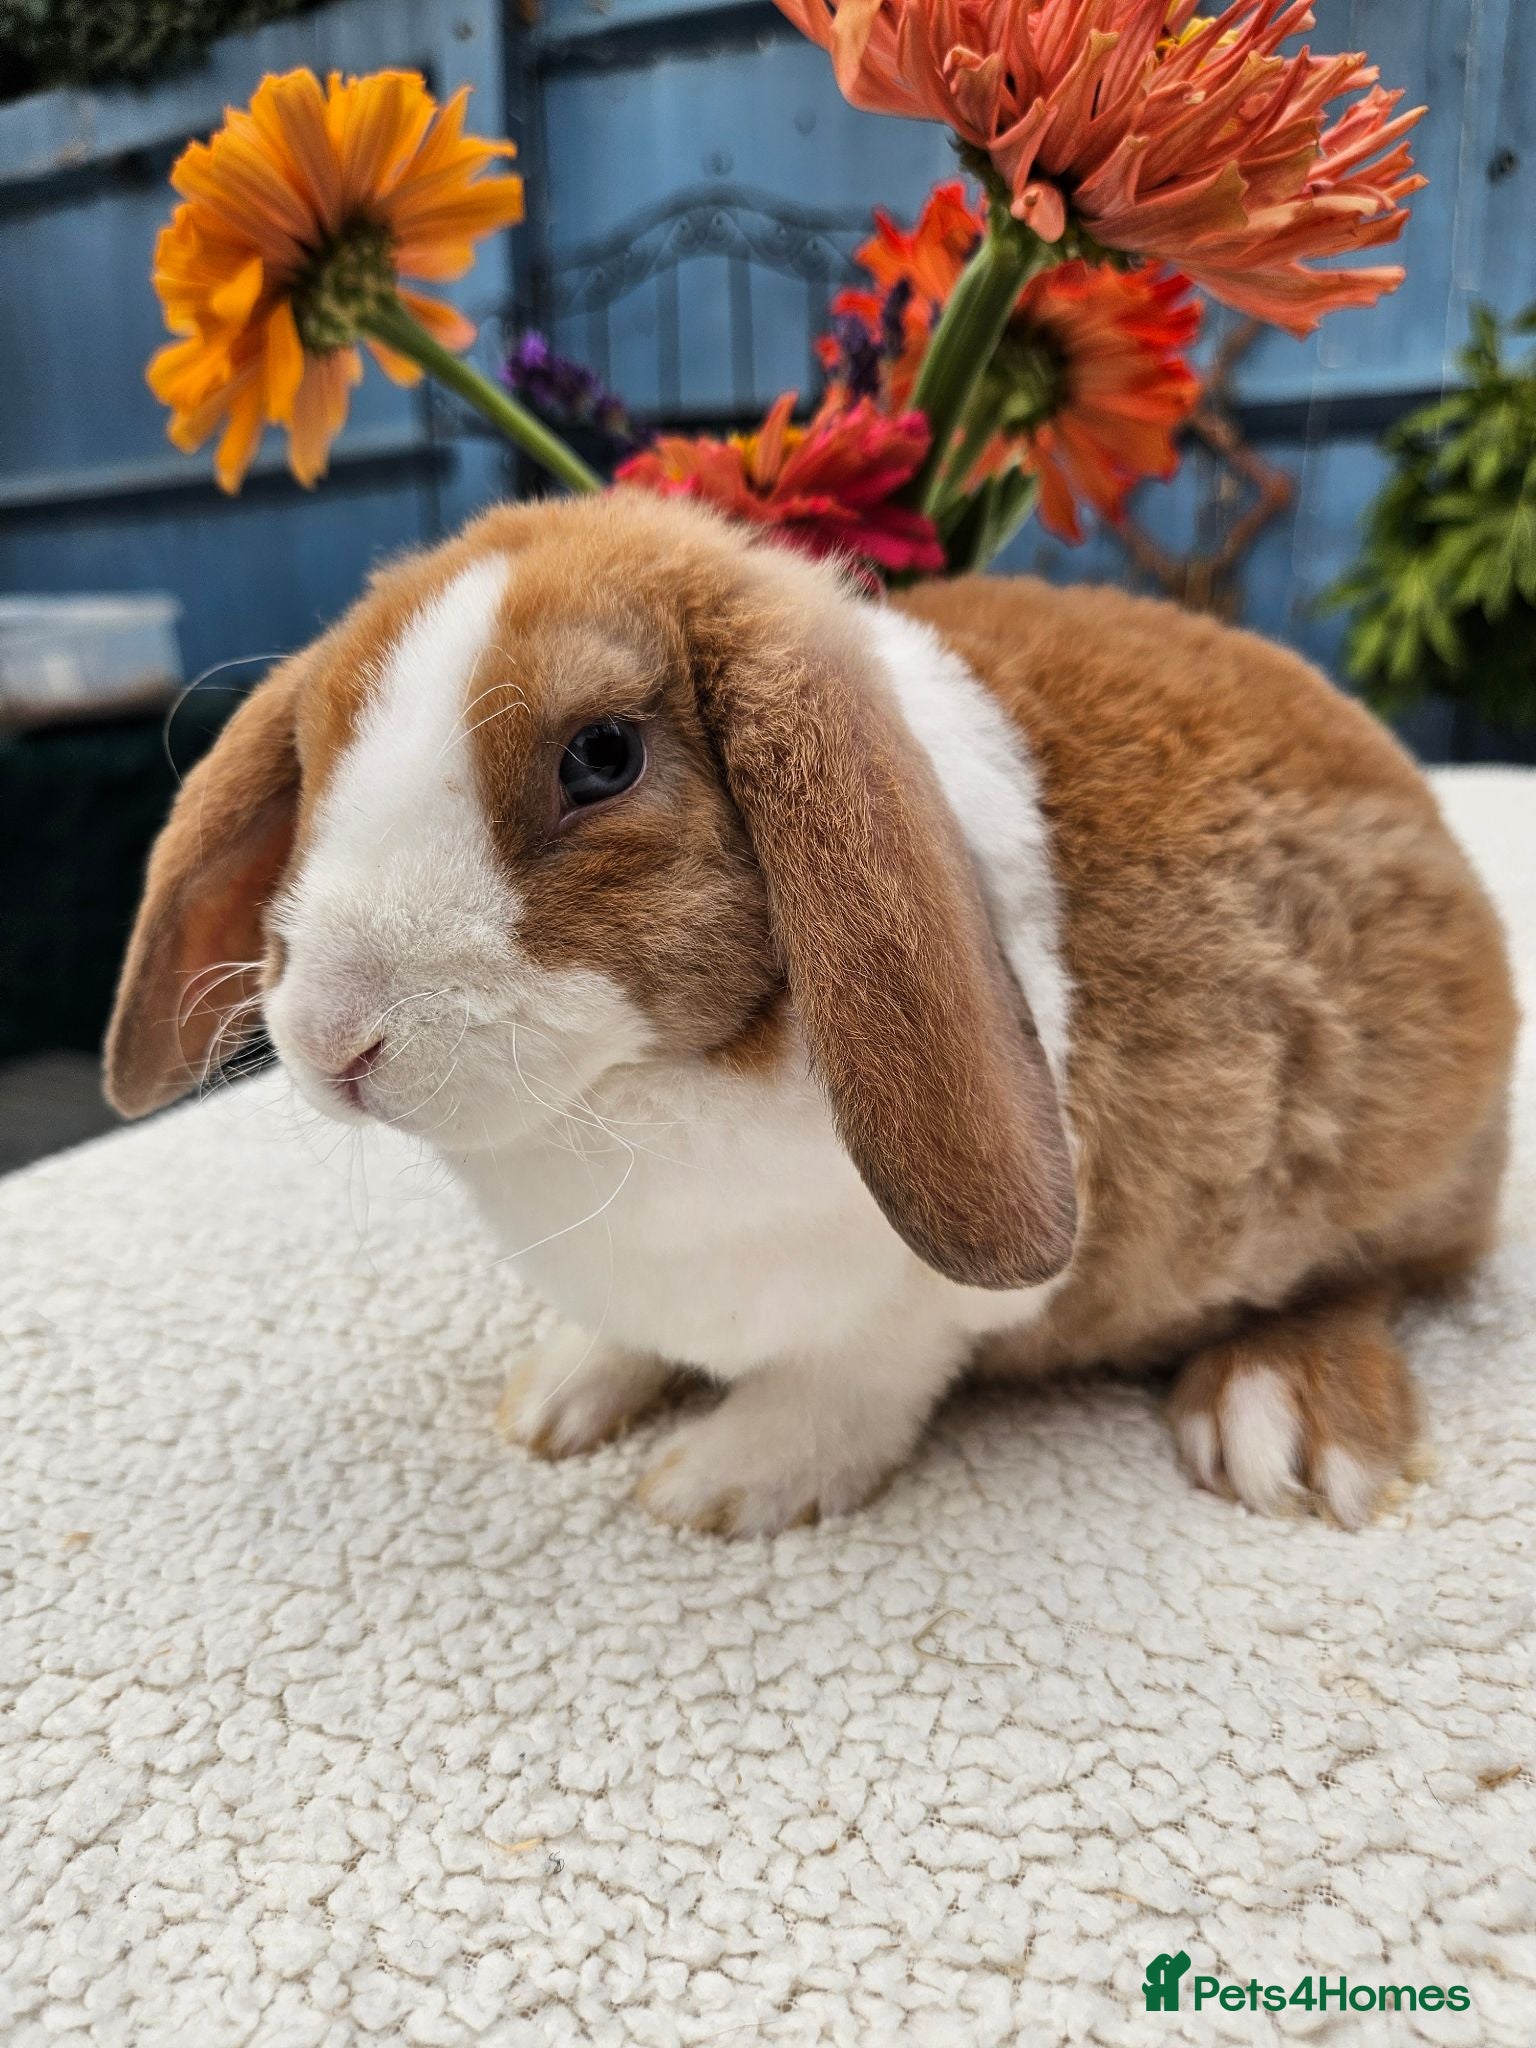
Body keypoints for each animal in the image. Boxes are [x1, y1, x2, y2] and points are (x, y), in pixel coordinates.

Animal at [105, 490, 1518, 1537]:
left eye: (601, 757)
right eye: (314, 762)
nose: (331, 1036)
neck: (626, 1102)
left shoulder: (903, 1316)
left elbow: (842, 1392)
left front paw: (717, 1485)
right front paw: (554, 1399)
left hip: (1377, 1169)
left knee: (1382, 1273)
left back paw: (1282, 1418)